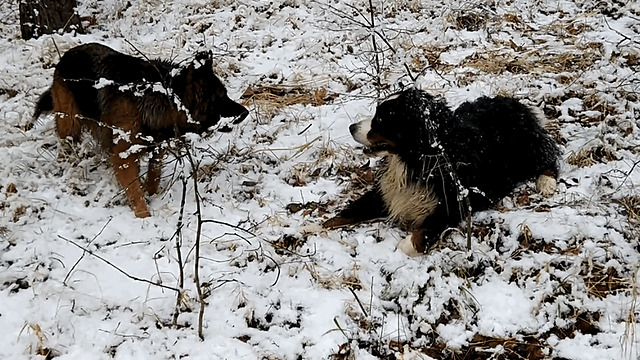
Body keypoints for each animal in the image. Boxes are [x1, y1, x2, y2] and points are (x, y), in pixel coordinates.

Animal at [32, 42, 249, 217]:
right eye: (220, 98)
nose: (246, 112)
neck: (163, 98)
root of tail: (67, 54)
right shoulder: (124, 157)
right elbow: (134, 190)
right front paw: (145, 216)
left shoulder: (155, 145)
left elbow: (154, 174)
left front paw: (150, 191)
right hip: (70, 124)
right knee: (65, 147)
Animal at [324, 88, 560, 255]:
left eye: (381, 119)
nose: (352, 127)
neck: (414, 159)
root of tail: (515, 104)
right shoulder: (385, 192)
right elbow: (349, 211)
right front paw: (317, 228)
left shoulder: (454, 201)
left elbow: (420, 235)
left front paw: (406, 245)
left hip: (527, 149)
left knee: (549, 156)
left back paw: (547, 182)